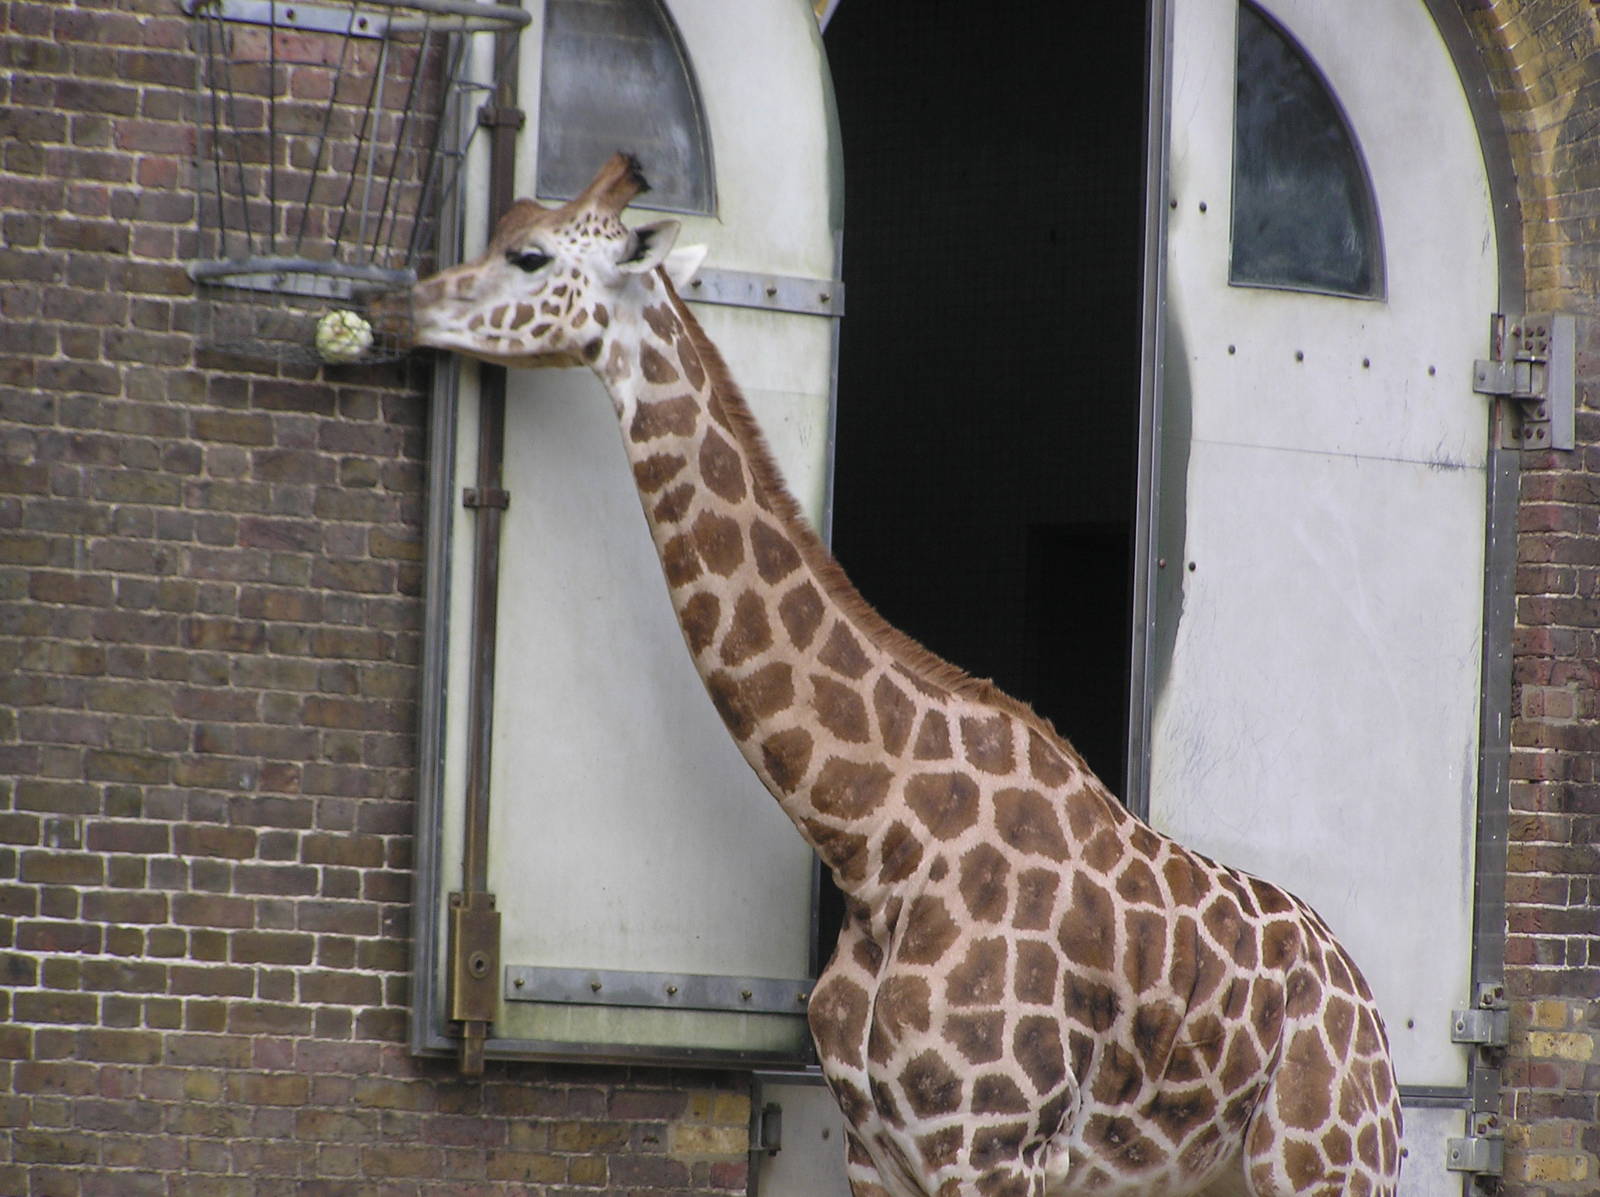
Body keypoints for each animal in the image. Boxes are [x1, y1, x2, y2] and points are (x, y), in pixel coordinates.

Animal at [398, 154, 1403, 1197]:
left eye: (529, 254)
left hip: (1327, 1162)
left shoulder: (989, 1146)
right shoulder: (876, 1150)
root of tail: (1368, 1007)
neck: (878, 836)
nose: (408, 305)